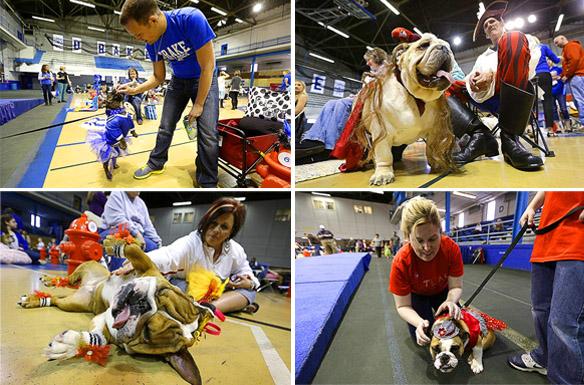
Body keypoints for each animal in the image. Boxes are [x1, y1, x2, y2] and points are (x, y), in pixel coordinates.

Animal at [19, 242, 219, 382]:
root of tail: (89, 286)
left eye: (147, 332)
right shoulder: (148, 266)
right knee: (70, 277)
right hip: (87, 269)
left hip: (71, 303)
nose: (141, 303)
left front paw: (69, 346)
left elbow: (96, 340)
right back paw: (50, 280)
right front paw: (113, 244)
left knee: (56, 299)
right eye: (161, 294)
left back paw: (37, 299)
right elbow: (132, 249)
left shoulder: (105, 324)